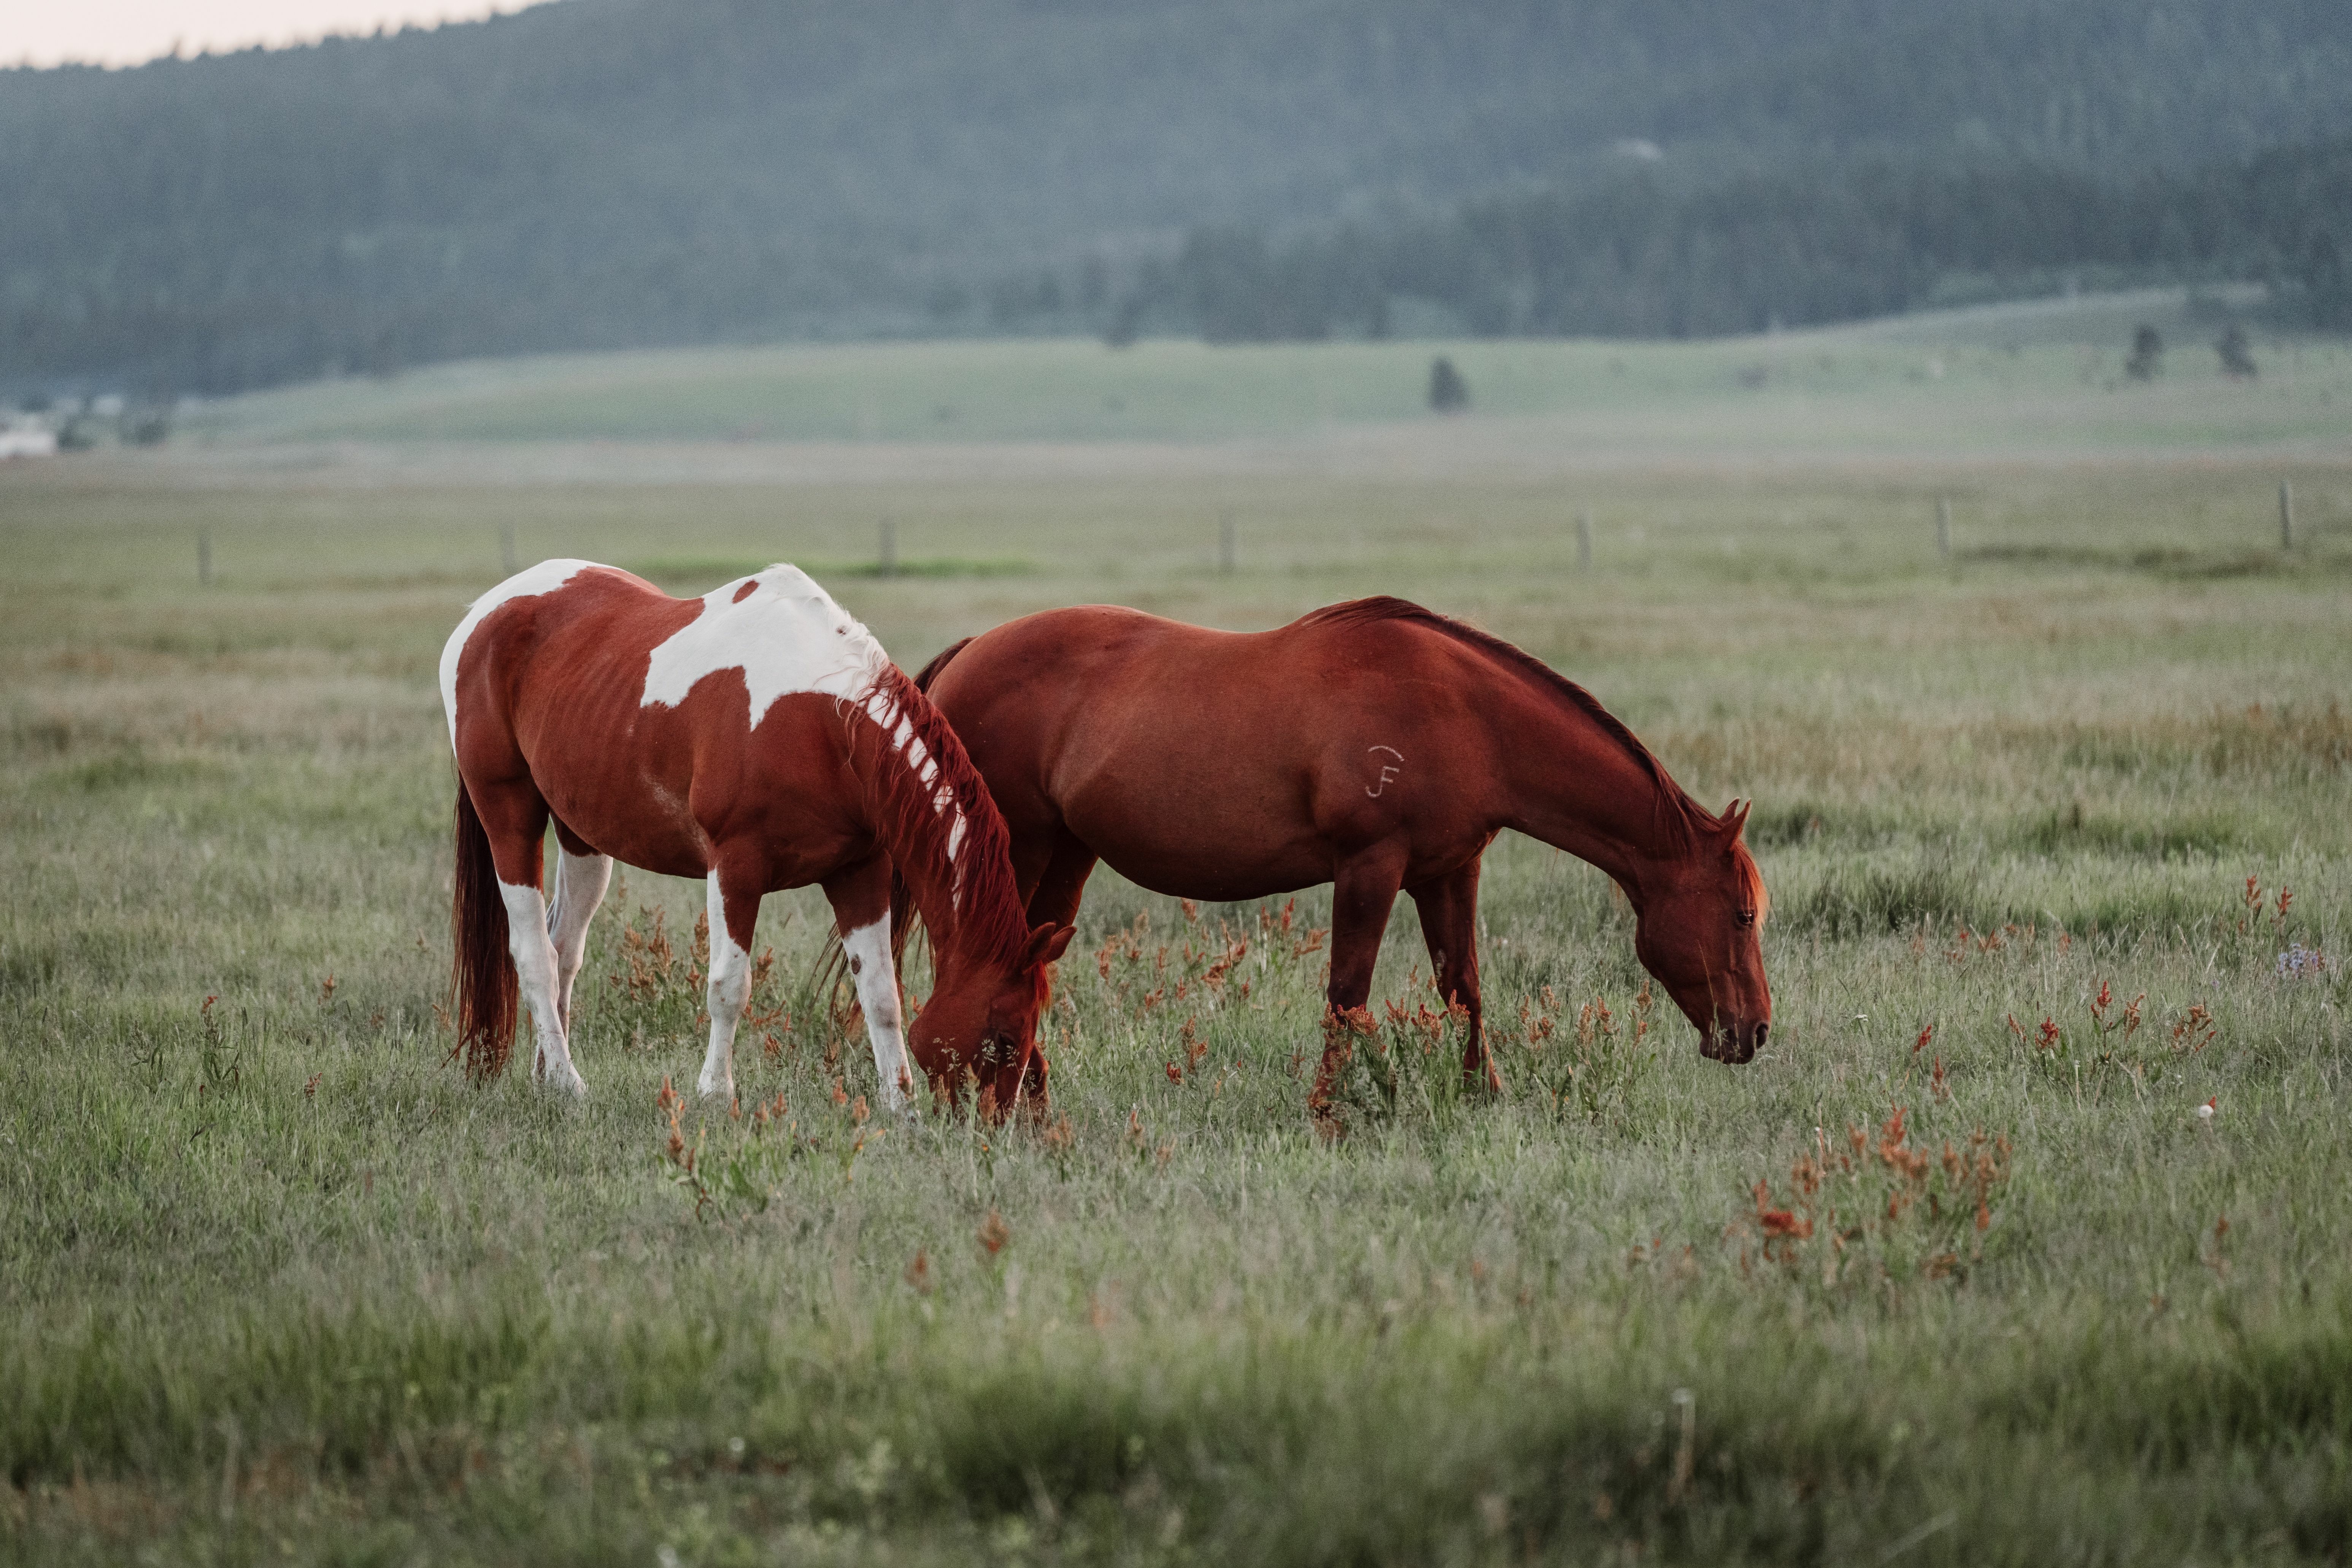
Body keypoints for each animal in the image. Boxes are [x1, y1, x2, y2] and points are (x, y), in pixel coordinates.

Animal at [439, 559, 1071, 1116]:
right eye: (1004, 1037)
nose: (995, 1124)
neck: (824, 721)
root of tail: (481, 617)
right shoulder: (735, 868)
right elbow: (729, 987)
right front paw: (716, 1095)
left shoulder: (858, 872)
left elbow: (881, 995)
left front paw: (900, 1106)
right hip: (509, 813)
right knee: (534, 953)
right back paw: (570, 1085)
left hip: (582, 836)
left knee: (563, 947)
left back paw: (549, 1074)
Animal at [908, 597, 1770, 1113]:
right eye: (1741, 914)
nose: (1755, 1031)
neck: (1468, 716)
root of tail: (965, 655)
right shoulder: (1369, 867)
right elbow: (1346, 996)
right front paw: (1330, 1114)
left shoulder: (1447, 872)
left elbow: (1463, 990)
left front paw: (1481, 1095)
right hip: (1016, 851)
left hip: (1066, 859)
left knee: (1031, 970)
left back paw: (1031, 1101)